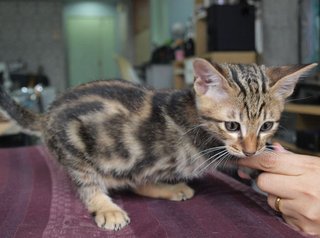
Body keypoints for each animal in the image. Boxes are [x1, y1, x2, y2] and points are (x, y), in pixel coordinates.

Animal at [0, 58, 316, 231]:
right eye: (232, 126)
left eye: (266, 126)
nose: (252, 148)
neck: (193, 110)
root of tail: (47, 115)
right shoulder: (211, 147)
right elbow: (235, 158)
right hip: (76, 148)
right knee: (91, 182)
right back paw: (106, 207)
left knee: (137, 180)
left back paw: (170, 188)